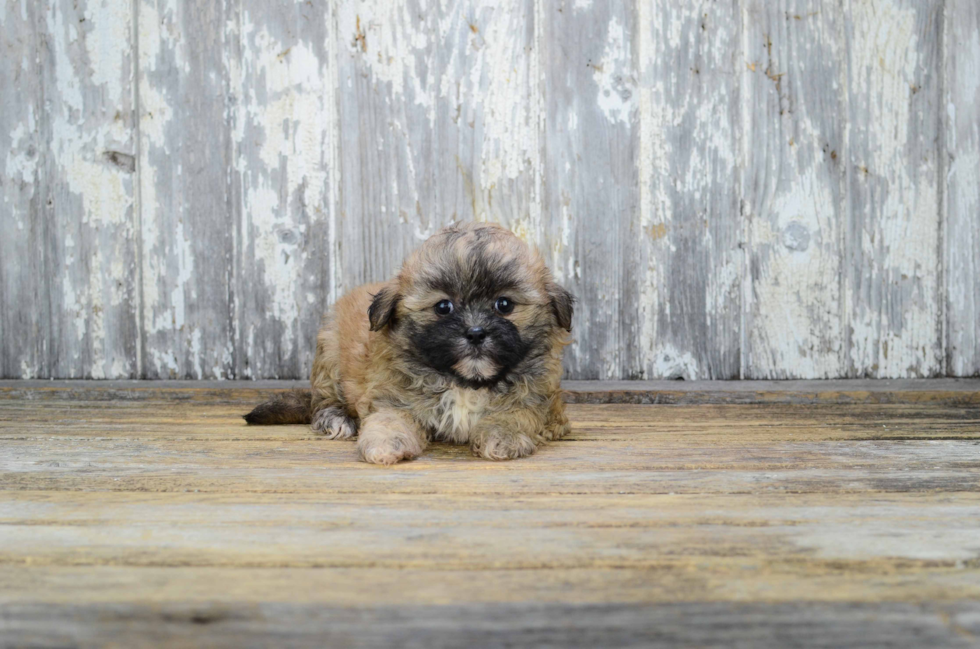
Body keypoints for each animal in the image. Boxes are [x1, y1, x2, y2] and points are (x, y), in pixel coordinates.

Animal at [244, 223, 576, 466]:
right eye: (443, 307)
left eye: (504, 304)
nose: (475, 332)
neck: (465, 382)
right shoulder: (392, 396)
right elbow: (390, 419)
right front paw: (384, 444)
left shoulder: (541, 401)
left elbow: (518, 413)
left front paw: (503, 436)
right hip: (330, 355)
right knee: (322, 401)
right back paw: (337, 419)